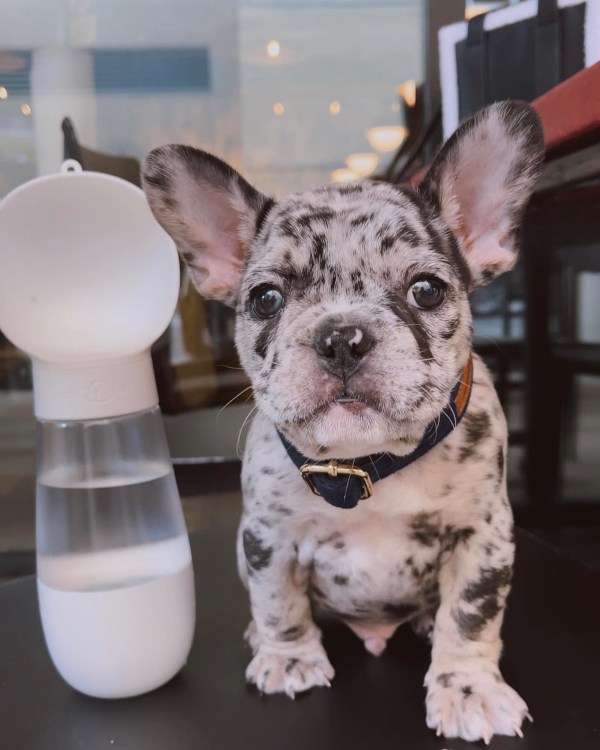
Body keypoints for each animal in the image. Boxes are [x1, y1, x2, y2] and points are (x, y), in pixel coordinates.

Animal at [142, 100, 544, 743]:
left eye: (426, 290)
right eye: (266, 299)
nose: (341, 337)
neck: (369, 461)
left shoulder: (483, 539)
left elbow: (471, 616)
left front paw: (469, 687)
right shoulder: (267, 538)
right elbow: (279, 600)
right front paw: (287, 657)